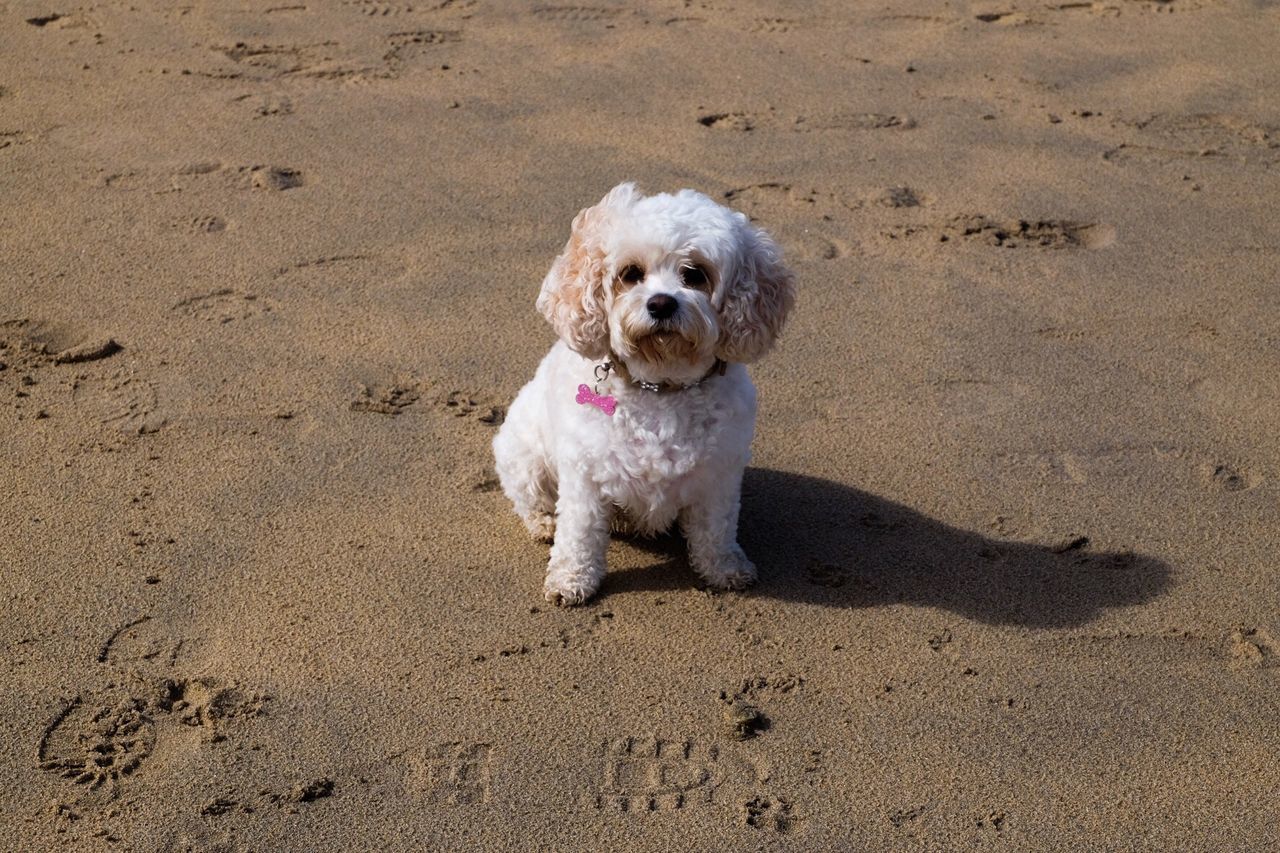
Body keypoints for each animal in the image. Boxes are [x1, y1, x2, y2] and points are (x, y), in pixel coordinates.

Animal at [494, 181, 793, 601]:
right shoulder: (585, 478)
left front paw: (724, 568)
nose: (661, 303)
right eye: (631, 273)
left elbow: (716, 529)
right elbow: (580, 535)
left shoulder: (719, 475)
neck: (659, 386)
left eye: (695, 274)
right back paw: (544, 523)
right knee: (531, 500)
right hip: (525, 458)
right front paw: (571, 579)